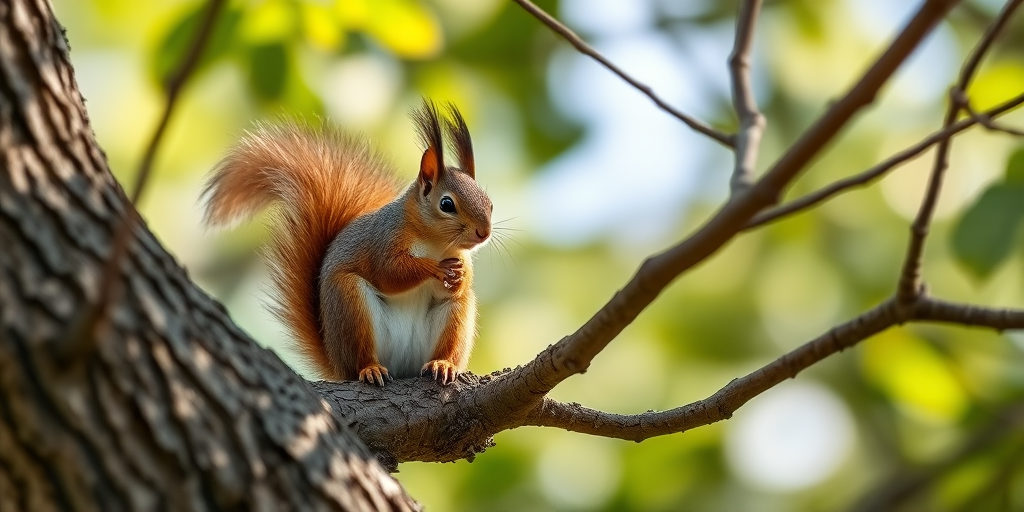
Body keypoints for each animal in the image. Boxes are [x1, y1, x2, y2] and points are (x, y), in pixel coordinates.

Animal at [201, 100, 492, 386]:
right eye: (447, 204)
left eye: (489, 203)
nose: (484, 232)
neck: (436, 244)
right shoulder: (382, 241)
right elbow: (390, 273)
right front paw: (434, 268)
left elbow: (455, 284)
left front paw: (460, 275)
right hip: (349, 303)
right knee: (360, 356)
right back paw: (370, 369)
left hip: (455, 315)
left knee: (455, 313)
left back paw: (442, 364)